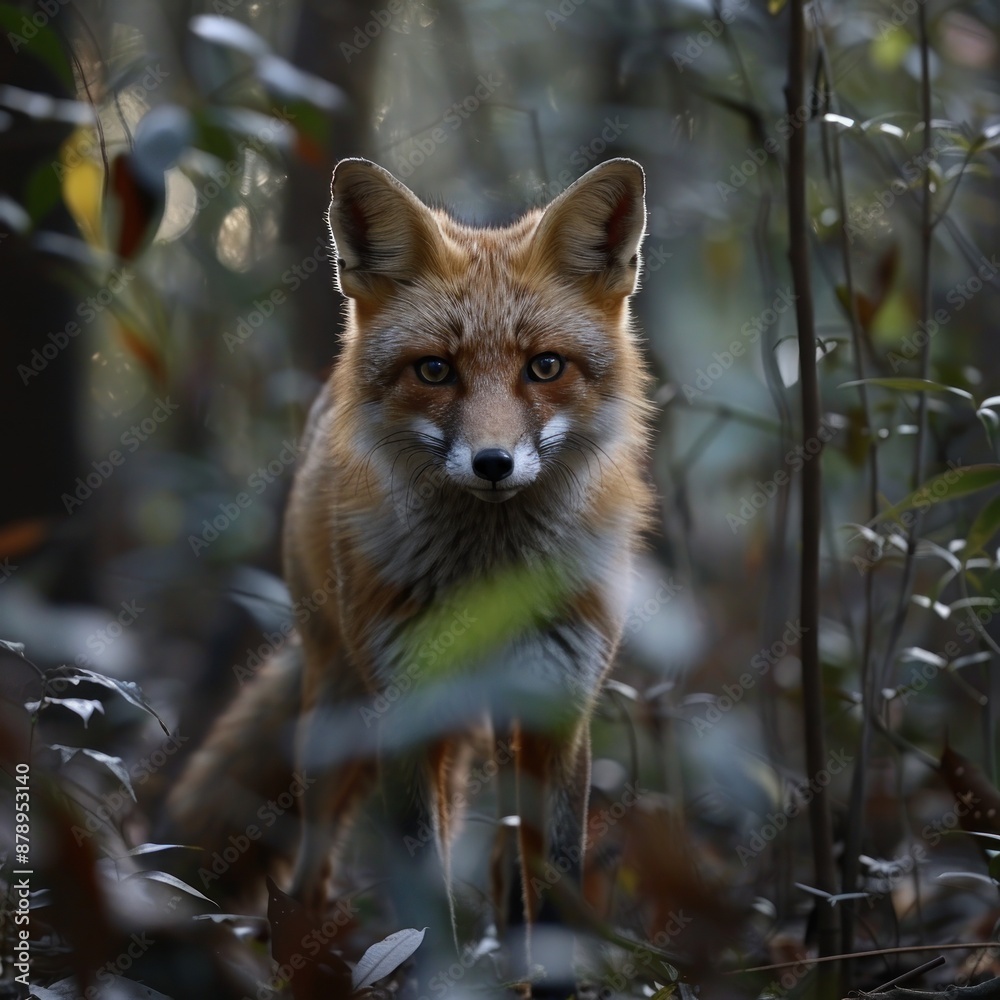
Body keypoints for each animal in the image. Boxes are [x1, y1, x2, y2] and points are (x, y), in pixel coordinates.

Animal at [169, 155, 654, 990]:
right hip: (339, 720)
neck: (490, 580)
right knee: (314, 869)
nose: (493, 463)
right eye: (435, 370)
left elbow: (554, 900)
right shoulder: (404, 712)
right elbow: (428, 906)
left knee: (505, 870)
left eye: (544, 367)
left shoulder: (559, 710)